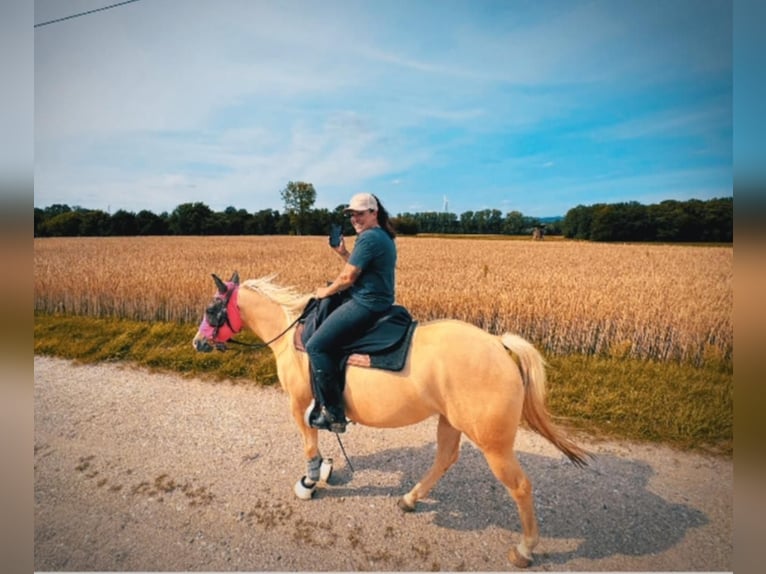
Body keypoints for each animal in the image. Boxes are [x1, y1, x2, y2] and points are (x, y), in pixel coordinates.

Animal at [192, 271, 589, 568]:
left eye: (212, 309)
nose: (198, 343)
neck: (293, 334)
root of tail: (497, 344)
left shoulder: (299, 403)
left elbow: (309, 444)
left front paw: (309, 480)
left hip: (494, 443)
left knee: (520, 486)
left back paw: (524, 549)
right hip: (450, 421)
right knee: (445, 458)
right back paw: (410, 499)